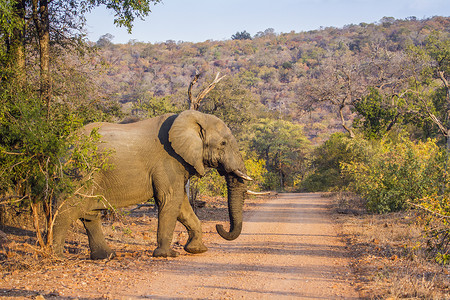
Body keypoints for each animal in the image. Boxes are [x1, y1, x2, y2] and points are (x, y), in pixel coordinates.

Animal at [51, 109, 253, 258]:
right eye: (223, 143)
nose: (219, 227)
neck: (192, 119)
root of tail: (64, 145)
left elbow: (182, 204)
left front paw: (196, 250)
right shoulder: (168, 160)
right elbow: (170, 199)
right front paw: (167, 255)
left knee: (90, 214)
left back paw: (106, 256)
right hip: (78, 172)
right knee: (68, 208)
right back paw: (57, 256)